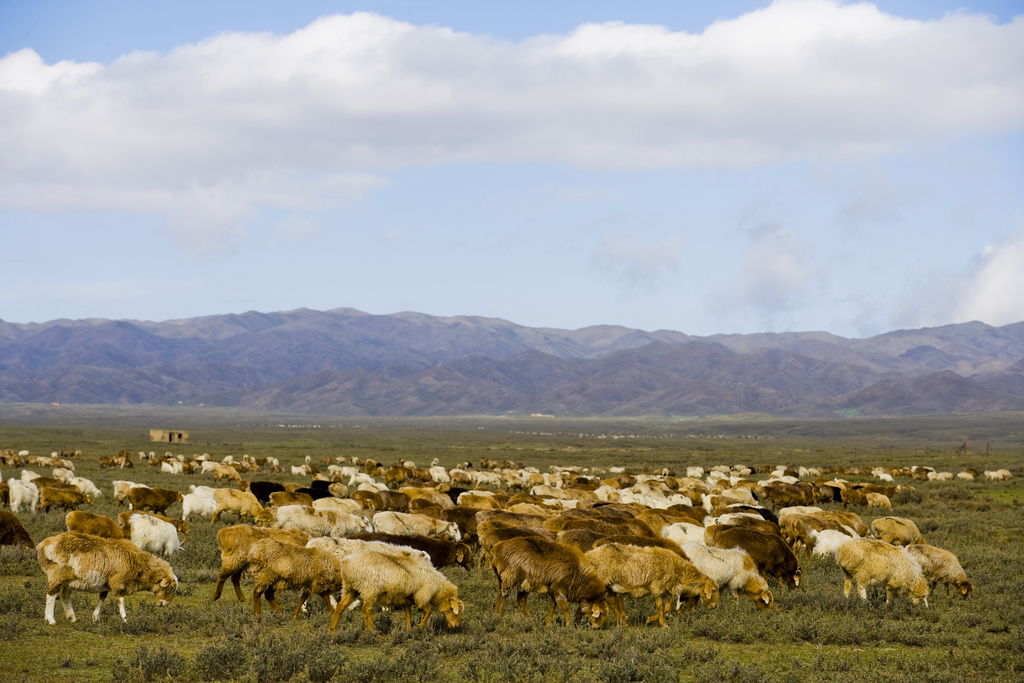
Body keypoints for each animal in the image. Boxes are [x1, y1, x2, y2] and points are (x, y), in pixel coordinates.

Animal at [327, 548, 464, 634]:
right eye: (455, 611)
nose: (455, 627)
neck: (437, 589)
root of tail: (346, 561)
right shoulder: (421, 595)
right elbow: (428, 611)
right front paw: (420, 627)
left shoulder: (407, 597)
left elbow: (408, 613)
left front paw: (409, 630)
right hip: (370, 590)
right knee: (365, 609)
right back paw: (373, 631)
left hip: (352, 588)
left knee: (340, 607)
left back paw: (333, 630)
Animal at [585, 540, 720, 626]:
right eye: (713, 591)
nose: (715, 606)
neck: (677, 569)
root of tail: (588, 554)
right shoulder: (656, 586)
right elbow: (660, 606)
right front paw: (662, 624)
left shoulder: (666, 590)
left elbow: (666, 607)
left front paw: (651, 620)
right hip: (602, 582)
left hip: (610, 585)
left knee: (611, 601)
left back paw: (622, 622)